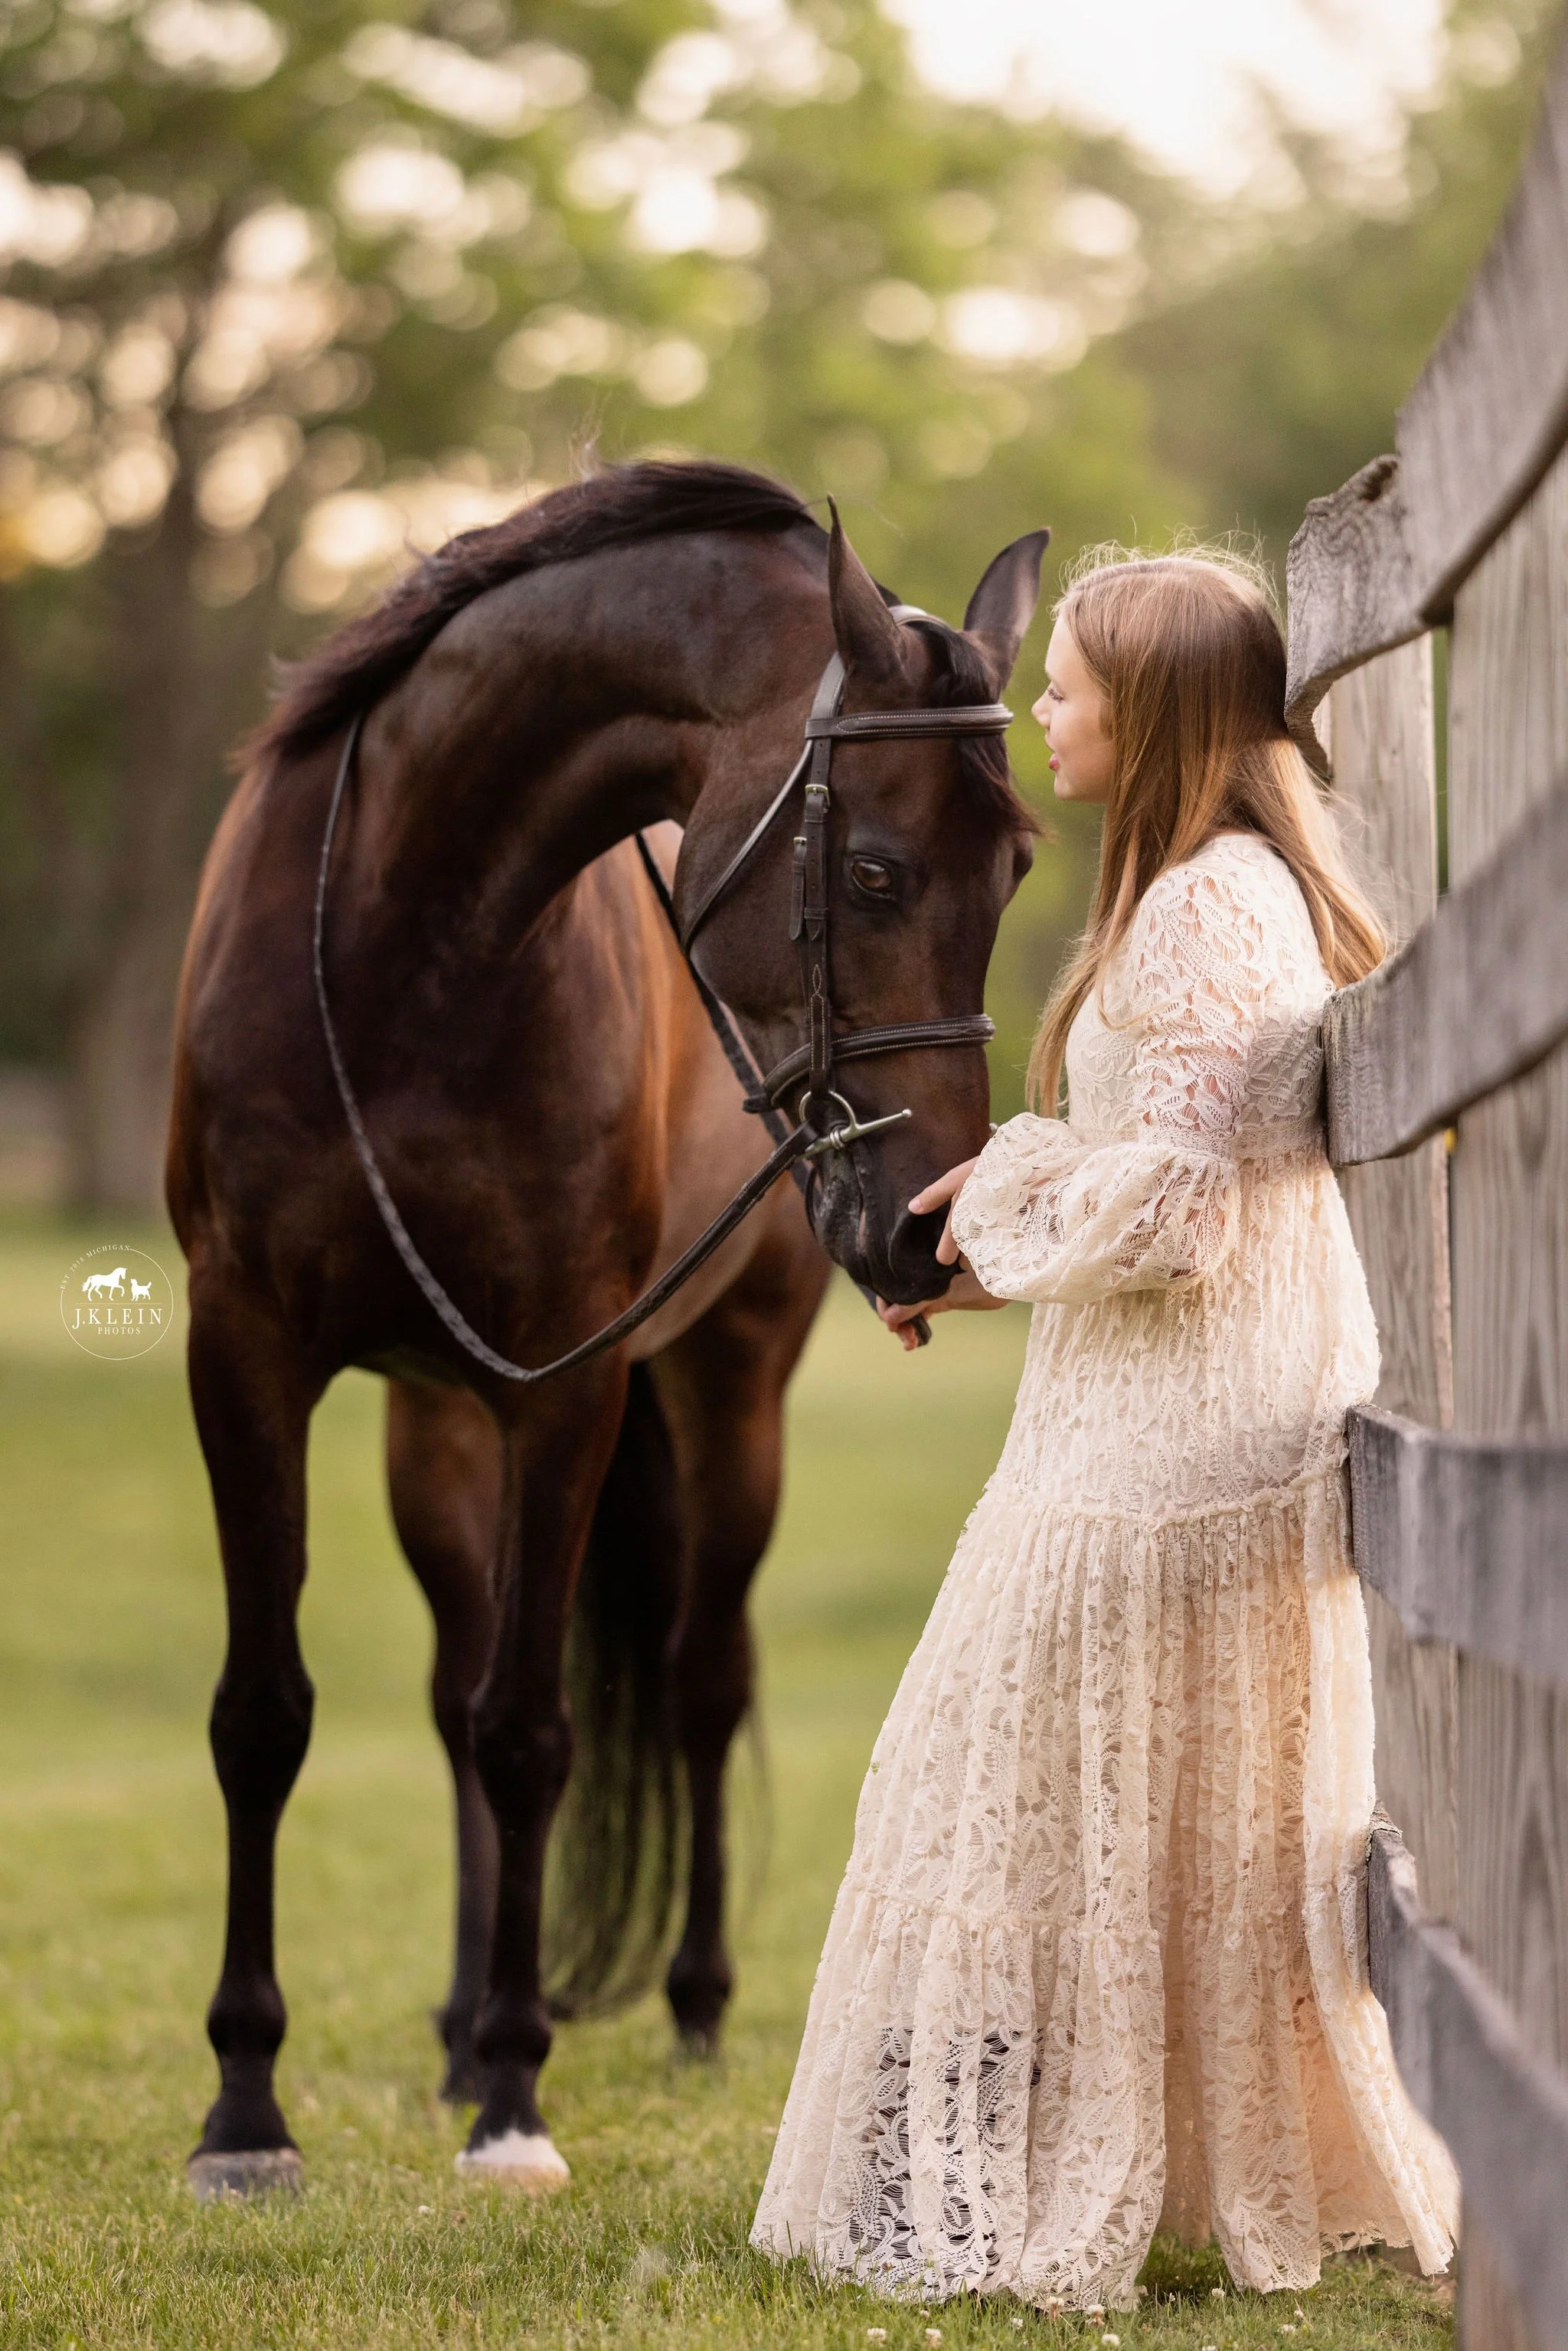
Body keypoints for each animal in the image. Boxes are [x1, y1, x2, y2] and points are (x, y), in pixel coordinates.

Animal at [166, 458, 1046, 2197]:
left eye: (1020, 872)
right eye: (873, 872)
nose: (932, 1229)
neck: (405, 941)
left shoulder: (566, 1385)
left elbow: (531, 1728)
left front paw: (515, 2096)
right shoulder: (242, 1353)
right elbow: (269, 1711)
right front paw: (246, 2105)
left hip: (726, 1393)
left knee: (701, 1675)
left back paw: (684, 2007)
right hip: (435, 1417)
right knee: (452, 1686)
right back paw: (453, 2024)